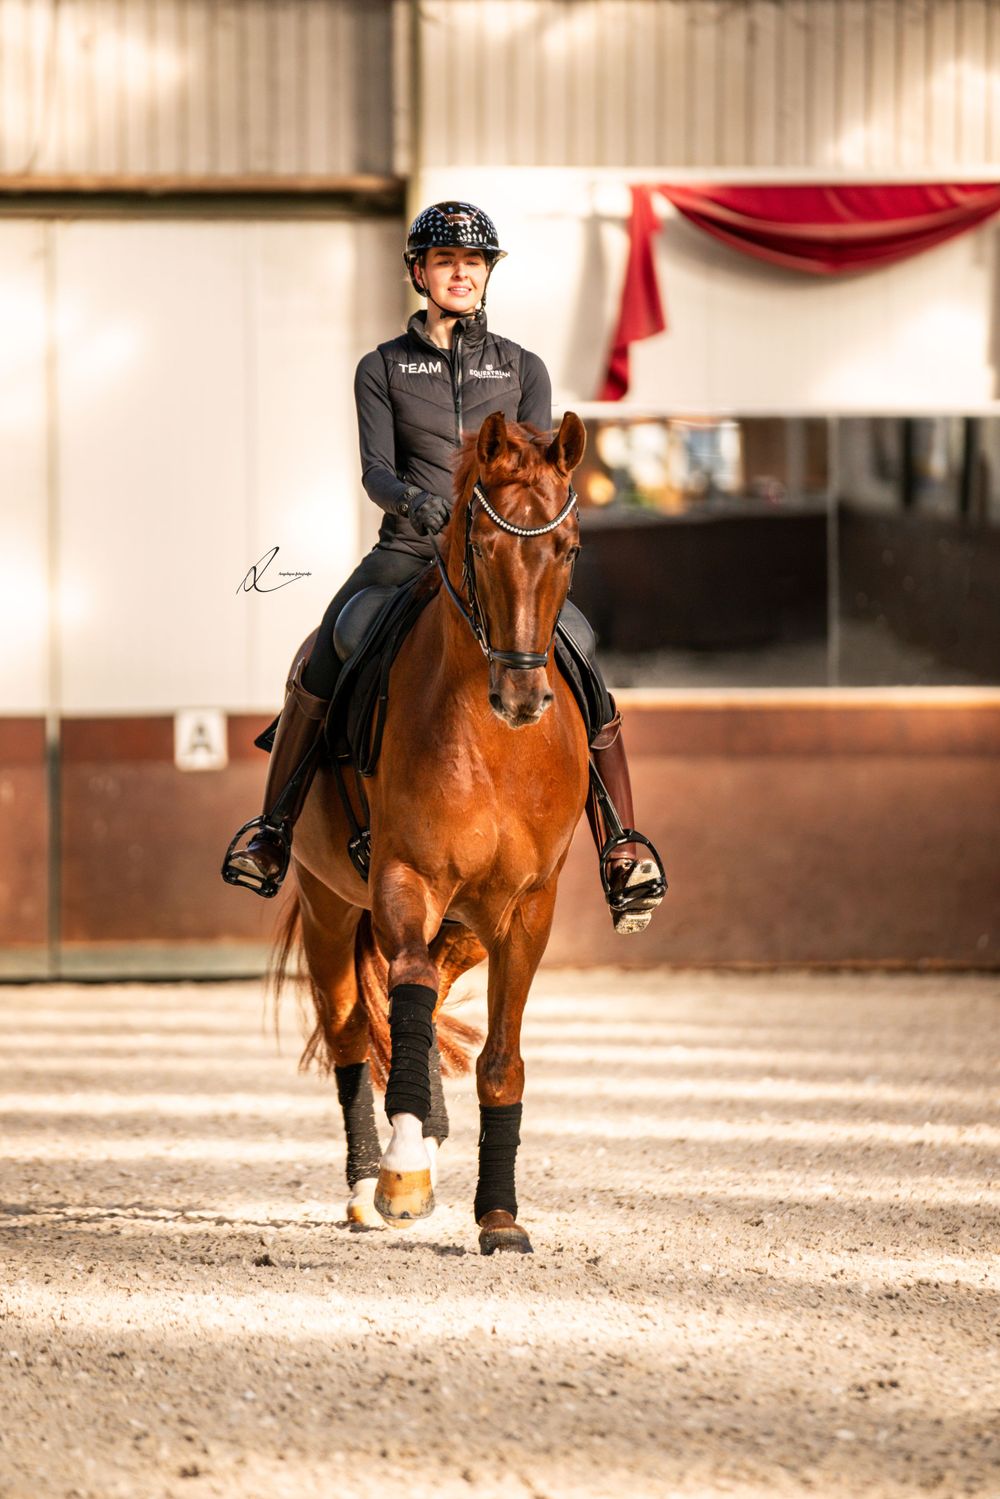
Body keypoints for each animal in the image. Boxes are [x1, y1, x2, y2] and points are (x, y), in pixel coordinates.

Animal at [271, 410, 590, 1255]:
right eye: (482, 547)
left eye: (568, 546)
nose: (523, 695)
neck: (495, 740)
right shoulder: (404, 877)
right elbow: (405, 992)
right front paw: (403, 1173)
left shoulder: (526, 906)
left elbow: (500, 1056)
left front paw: (500, 1215)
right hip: (328, 903)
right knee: (353, 1029)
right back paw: (365, 1182)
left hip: (470, 922)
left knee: (424, 991)